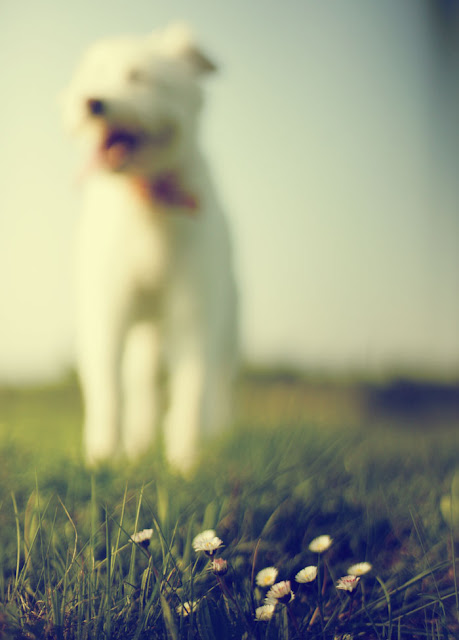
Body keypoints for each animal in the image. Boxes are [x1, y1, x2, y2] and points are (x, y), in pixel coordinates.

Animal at [61, 25, 239, 470]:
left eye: (138, 77)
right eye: (94, 75)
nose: (91, 101)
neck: (147, 202)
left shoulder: (193, 308)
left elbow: (192, 388)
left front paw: (186, 463)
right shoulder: (108, 308)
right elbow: (108, 390)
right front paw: (103, 459)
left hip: (227, 323)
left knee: (219, 384)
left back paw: (214, 434)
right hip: (145, 332)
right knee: (140, 387)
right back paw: (138, 446)